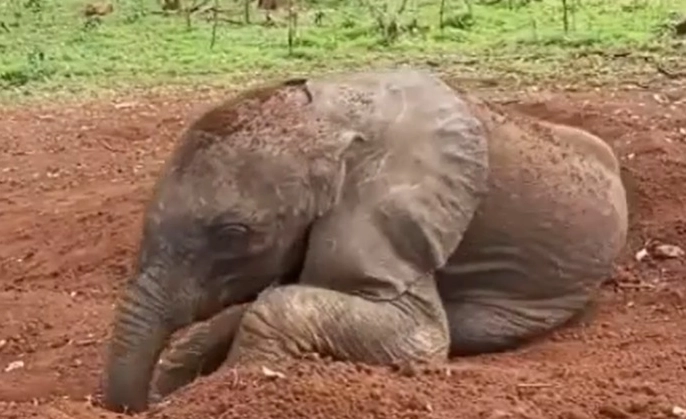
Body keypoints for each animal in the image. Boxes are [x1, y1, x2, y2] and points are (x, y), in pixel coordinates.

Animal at [101, 69, 628, 414]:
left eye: (233, 236)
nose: (143, 405)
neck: (336, 120)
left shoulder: (391, 217)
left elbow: (421, 339)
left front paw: (236, 385)